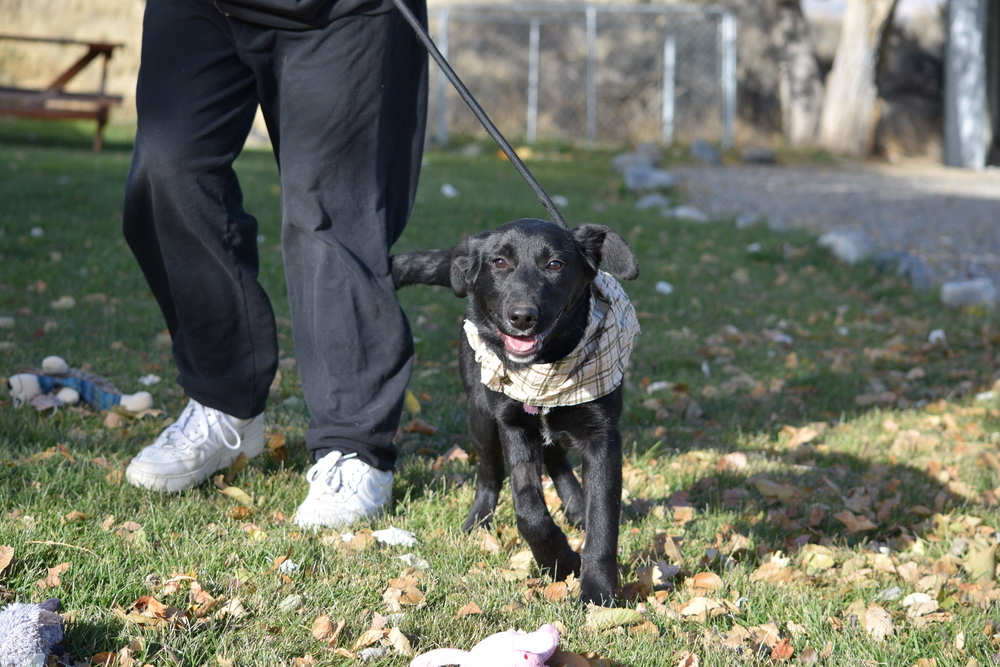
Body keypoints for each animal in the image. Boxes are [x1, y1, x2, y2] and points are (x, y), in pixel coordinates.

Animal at [392, 219, 640, 604]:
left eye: (555, 264)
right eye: (499, 262)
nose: (522, 317)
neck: (546, 365)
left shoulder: (602, 437)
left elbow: (602, 521)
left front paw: (597, 592)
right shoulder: (513, 425)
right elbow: (527, 508)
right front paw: (559, 560)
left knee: (556, 459)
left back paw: (575, 505)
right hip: (480, 415)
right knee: (489, 473)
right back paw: (478, 522)